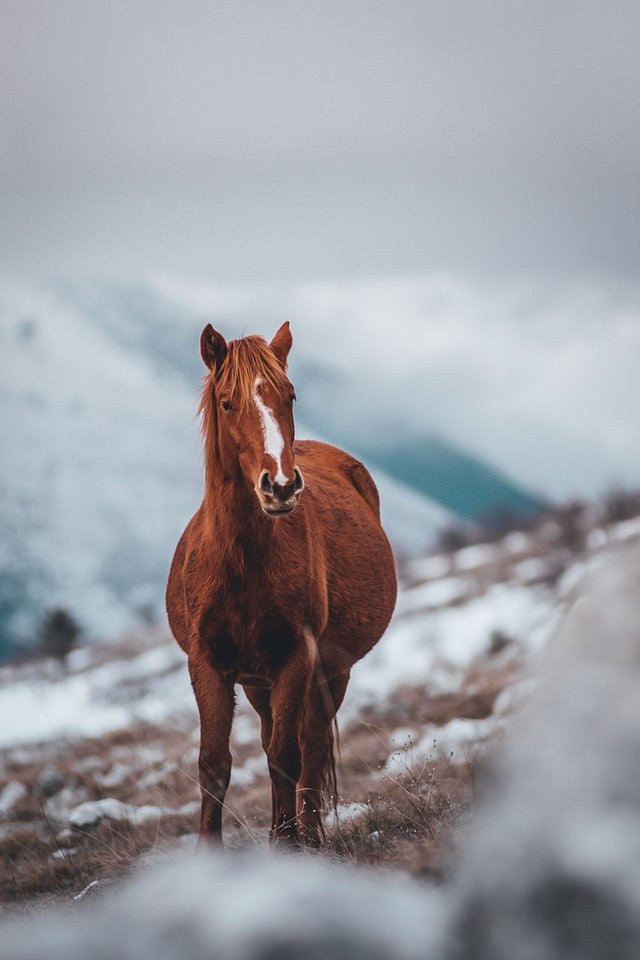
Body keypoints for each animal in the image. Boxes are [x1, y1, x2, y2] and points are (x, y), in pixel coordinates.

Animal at [166, 318, 396, 844]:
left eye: (290, 396)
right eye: (227, 402)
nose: (282, 486)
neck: (242, 563)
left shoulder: (297, 658)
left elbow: (287, 758)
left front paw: (290, 845)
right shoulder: (208, 664)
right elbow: (214, 765)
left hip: (332, 670)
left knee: (308, 747)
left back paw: (306, 835)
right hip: (257, 682)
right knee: (275, 736)